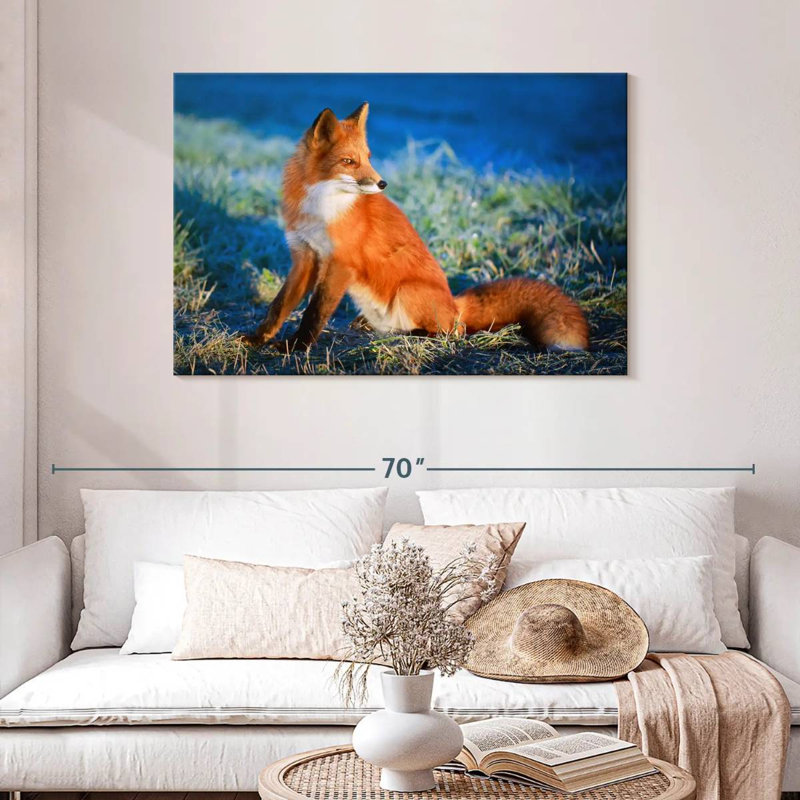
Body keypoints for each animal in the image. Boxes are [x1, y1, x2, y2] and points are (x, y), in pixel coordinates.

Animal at [242, 103, 589, 352]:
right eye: (349, 162)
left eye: (369, 157)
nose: (382, 183)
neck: (321, 208)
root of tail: (455, 303)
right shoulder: (304, 256)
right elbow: (279, 306)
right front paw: (258, 339)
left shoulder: (340, 263)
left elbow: (314, 312)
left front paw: (294, 348)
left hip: (408, 290)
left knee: (453, 332)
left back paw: (418, 335)